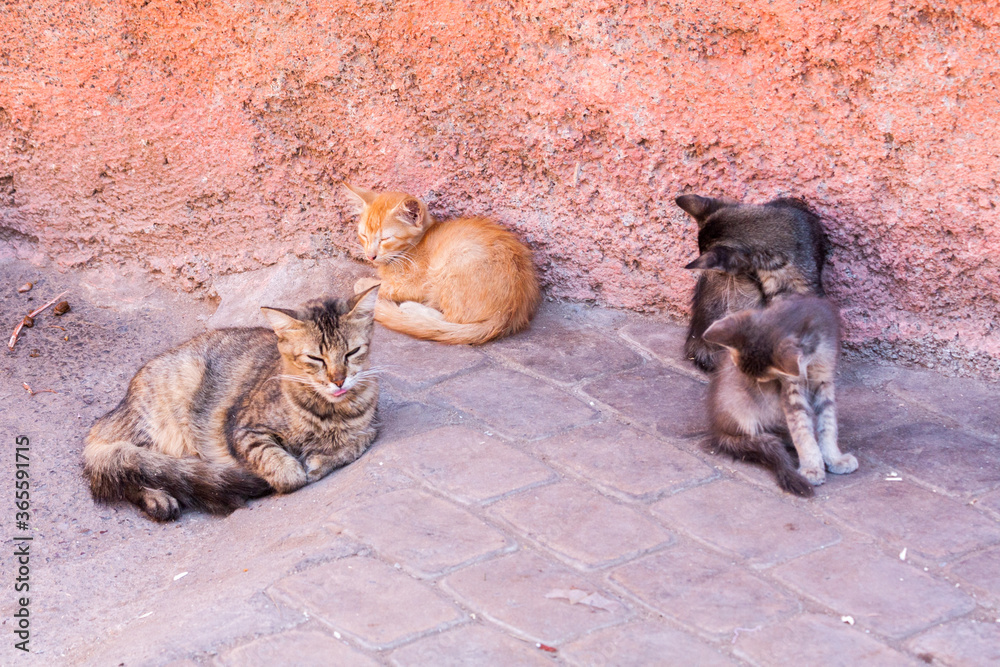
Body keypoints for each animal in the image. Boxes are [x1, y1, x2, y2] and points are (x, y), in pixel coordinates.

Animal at [81, 288, 378, 520]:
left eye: (352, 352)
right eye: (315, 358)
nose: (338, 380)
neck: (327, 413)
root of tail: (110, 416)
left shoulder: (370, 429)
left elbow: (351, 446)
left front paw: (320, 459)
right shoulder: (243, 430)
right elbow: (285, 471)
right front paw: (294, 470)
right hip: (160, 418)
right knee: (133, 467)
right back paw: (159, 499)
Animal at [344, 185, 540, 348]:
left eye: (385, 239)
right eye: (364, 235)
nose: (370, 255)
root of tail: (506, 315)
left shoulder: (416, 284)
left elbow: (382, 286)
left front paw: (364, 284)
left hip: (453, 263)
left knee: (451, 319)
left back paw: (411, 309)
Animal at [700, 294, 856, 496]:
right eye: (763, 379)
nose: (753, 381)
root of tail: (719, 430)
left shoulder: (825, 379)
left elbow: (828, 424)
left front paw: (834, 458)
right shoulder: (791, 388)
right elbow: (801, 429)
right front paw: (812, 467)